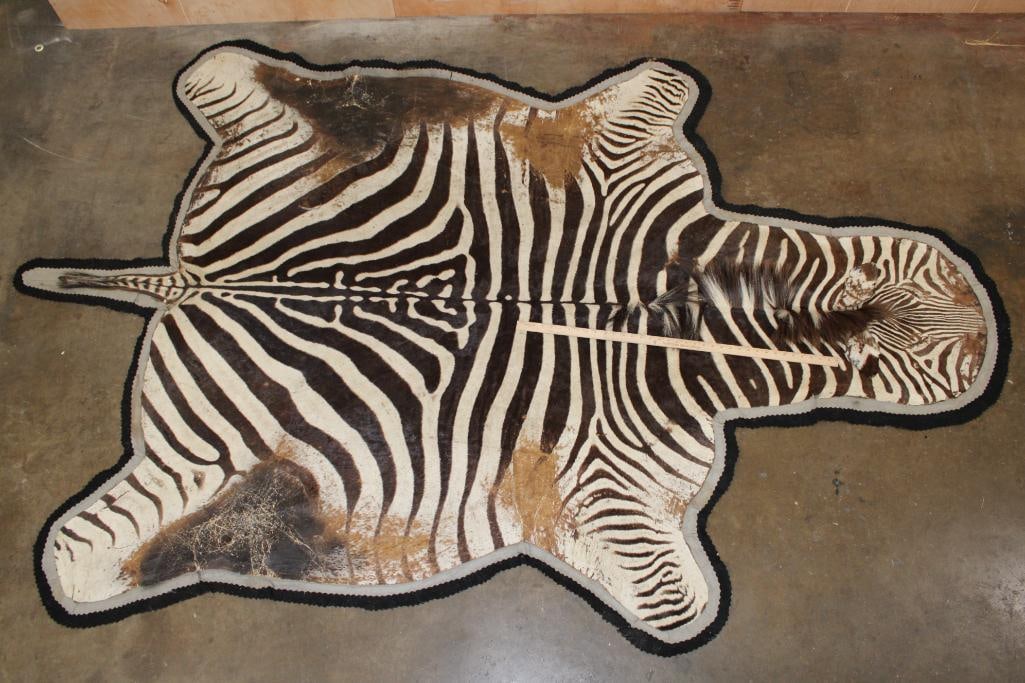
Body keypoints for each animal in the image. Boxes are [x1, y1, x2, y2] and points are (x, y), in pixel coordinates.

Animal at [16, 44, 999, 648]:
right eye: (929, 358)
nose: (986, 329)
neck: (696, 306)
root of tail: (190, 277)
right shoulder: (610, 485)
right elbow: (678, 604)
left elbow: (662, 86)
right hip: (216, 471)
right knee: (82, 554)